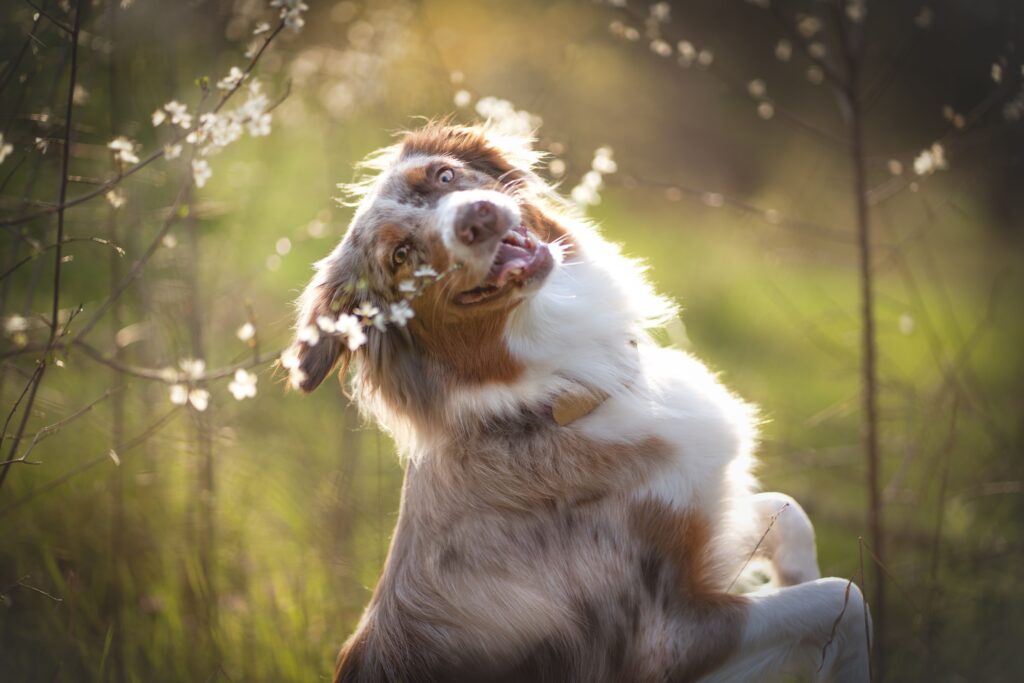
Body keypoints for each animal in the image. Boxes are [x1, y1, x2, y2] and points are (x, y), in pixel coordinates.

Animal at [286, 120, 872, 679]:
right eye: (401, 256)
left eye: (443, 175)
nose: (477, 217)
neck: (562, 396)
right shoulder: (664, 638)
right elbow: (845, 595)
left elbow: (789, 511)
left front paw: (795, 572)